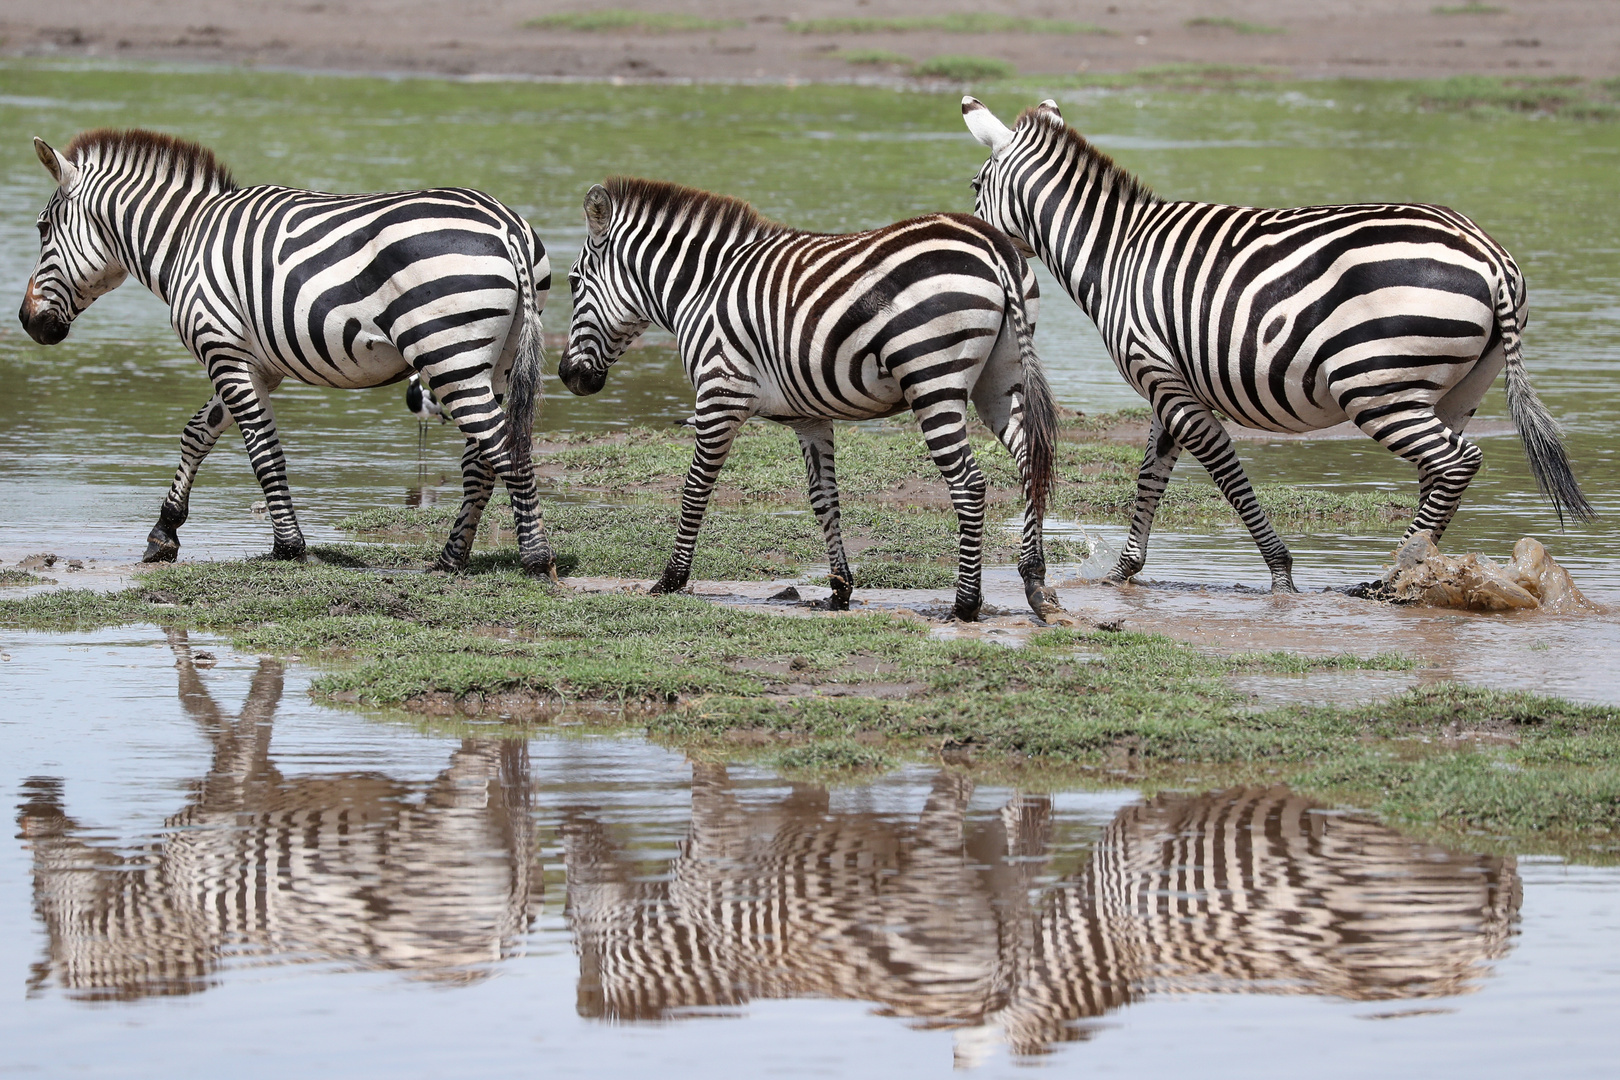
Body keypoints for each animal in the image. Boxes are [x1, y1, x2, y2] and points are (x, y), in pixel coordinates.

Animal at [15, 128, 560, 573]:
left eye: (42, 230)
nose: (26, 321)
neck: (186, 240)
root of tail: (507, 225)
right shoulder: (252, 362)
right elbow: (197, 434)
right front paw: (164, 533)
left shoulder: (223, 349)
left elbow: (263, 452)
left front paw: (289, 546)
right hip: (494, 363)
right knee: (483, 458)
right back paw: (451, 558)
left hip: (451, 355)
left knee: (503, 448)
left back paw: (536, 559)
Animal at [557, 179, 1062, 625]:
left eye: (573, 282)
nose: (566, 376)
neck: (702, 287)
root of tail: (993, 244)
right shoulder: (810, 417)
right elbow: (824, 497)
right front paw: (840, 589)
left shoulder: (720, 394)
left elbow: (695, 488)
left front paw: (670, 580)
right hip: (999, 381)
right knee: (1030, 463)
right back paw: (1036, 585)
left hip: (932, 379)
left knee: (970, 484)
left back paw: (965, 604)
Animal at [952, 98, 1587, 592]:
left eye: (976, 187)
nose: (979, 242)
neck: (1116, 255)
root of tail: (1490, 256)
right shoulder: (1169, 378)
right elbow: (1151, 471)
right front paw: (1124, 572)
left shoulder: (1159, 372)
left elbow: (1224, 471)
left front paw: (1280, 573)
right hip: (1456, 389)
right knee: (1445, 469)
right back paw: (1414, 569)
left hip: (1376, 386)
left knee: (1455, 461)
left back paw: (1392, 574)